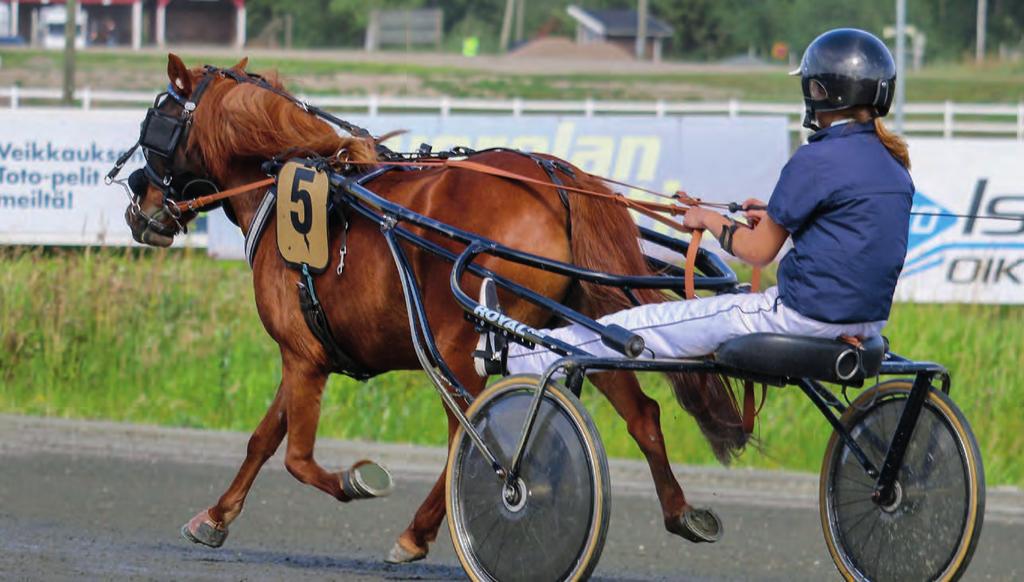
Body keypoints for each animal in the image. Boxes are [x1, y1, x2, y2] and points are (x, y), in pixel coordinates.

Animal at [128, 54, 749, 565]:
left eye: (156, 124)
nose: (138, 201)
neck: (284, 186)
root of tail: (555, 180)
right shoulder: (309, 350)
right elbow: (263, 438)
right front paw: (213, 518)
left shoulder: (301, 356)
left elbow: (298, 457)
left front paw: (358, 480)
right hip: (577, 321)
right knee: (642, 413)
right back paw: (681, 512)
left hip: (459, 340)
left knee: (469, 432)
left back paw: (426, 529)